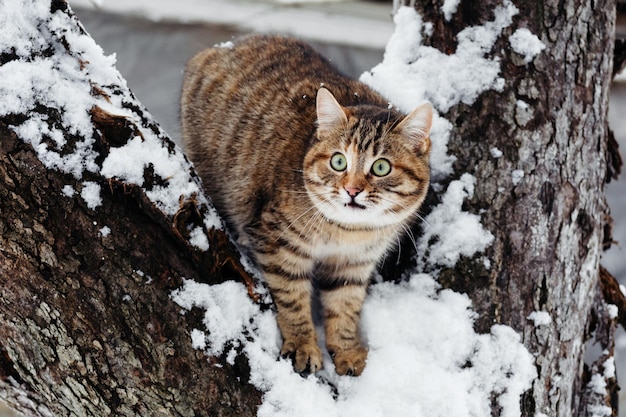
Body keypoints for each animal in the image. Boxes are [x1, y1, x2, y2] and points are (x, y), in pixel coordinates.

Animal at [180, 34, 432, 376]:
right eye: (338, 161)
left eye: (381, 167)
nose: (352, 190)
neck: (348, 233)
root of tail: (225, 46)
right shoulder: (278, 243)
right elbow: (292, 297)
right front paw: (302, 344)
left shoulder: (354, 265)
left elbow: (345, 306)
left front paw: (347, 350)